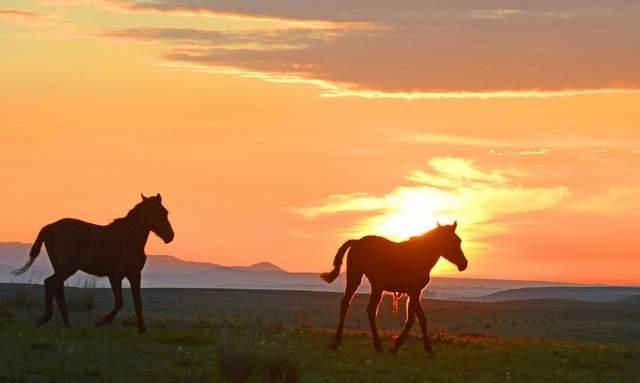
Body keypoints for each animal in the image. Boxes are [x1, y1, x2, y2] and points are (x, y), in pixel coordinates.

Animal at [318, 222, 464, 356]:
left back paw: (341, 342)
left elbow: (421, 319)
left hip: (366, 283)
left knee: (354, 306)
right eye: (454, 241)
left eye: (459, 241)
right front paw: (396, 346)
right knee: (365, 308)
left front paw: (429, 349)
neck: (419, 255)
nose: (464, 264)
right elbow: (411, 319)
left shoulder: (414, 293)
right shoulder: (415, 292)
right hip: (363, 281)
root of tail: (357, 241)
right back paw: (371, 344)